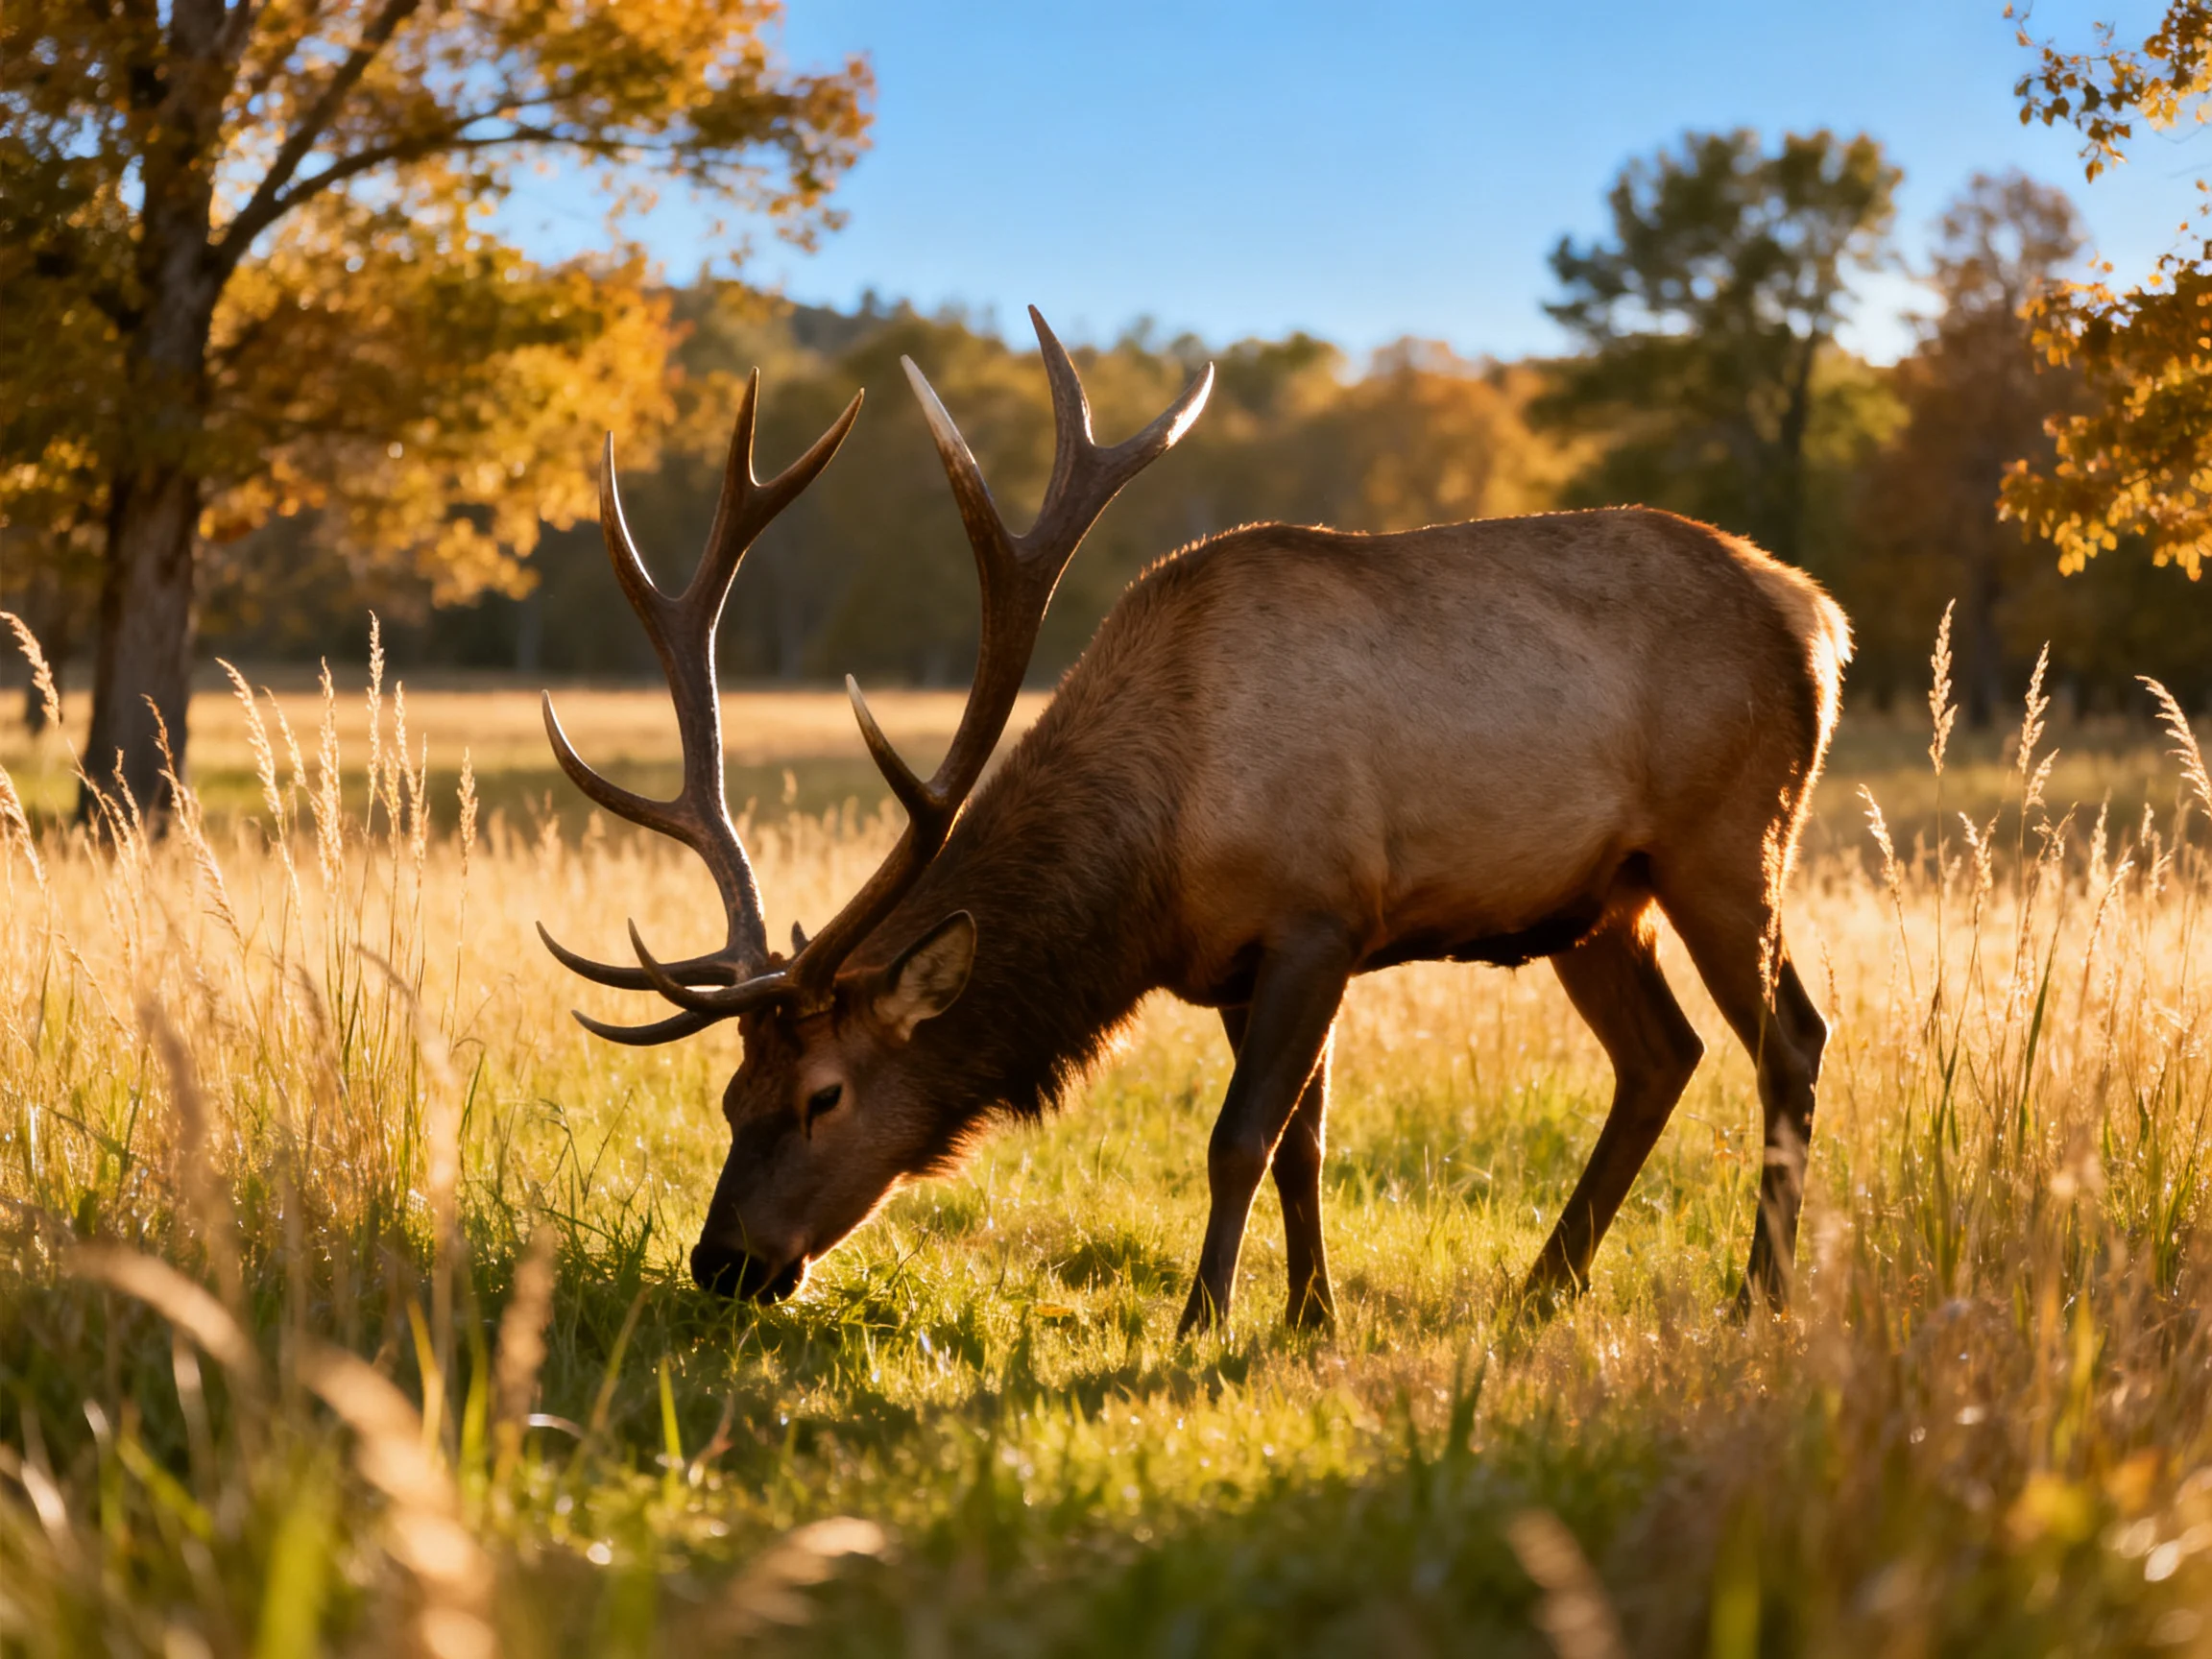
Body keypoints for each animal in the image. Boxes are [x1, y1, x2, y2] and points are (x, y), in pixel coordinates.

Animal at [538, 308, 1851, 1335]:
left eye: (824, 1096)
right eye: (728, 1099)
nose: (724, 1264)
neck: (1153, 869)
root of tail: (1817, 615)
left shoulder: (1324, 916)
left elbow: (1240, 1138)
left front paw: (1200, 1323)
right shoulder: (1238, 964)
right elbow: (1303, 1144)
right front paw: (1310, 1316)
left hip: (1731, 839)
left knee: (1791, 1037)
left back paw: (1760, 1296)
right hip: (1596, 900)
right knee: (1662, 1054)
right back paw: (1543, 1289)